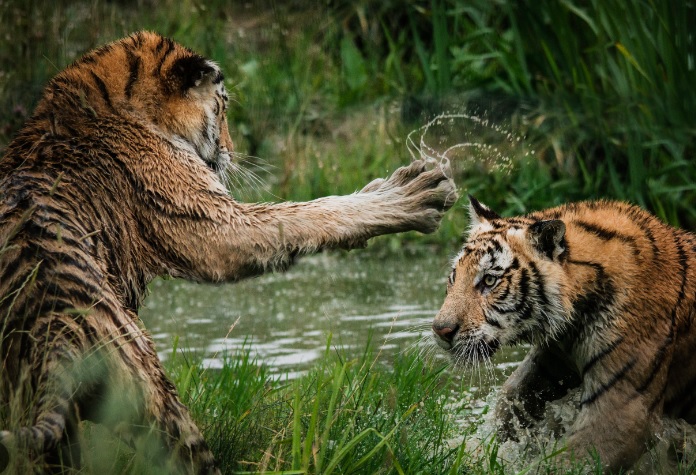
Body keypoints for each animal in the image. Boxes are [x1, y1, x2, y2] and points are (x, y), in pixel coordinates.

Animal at [0, 31, 460, 474]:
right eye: (221, 110)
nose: (232, 151)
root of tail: (53, 327)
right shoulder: (216, 225)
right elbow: (307, 213)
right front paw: (412, 194)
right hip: (149, 388)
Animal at [432, 196, 696, 472]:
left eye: (490, 280)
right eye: (454, 276)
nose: (440, 329)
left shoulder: (624, 411)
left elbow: (566, 463)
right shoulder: (553, 359)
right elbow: (511, 399)